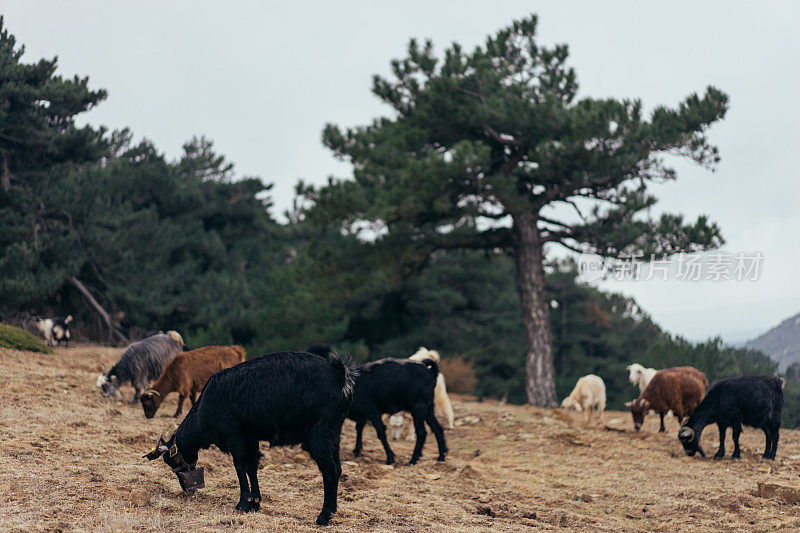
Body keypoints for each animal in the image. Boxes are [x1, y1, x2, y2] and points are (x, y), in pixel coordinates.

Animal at [145, 348, 356, 524]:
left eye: (170, 461)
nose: (187, 489)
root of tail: (340, 374)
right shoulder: (251, 437)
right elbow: (253, 466)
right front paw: (255, 502)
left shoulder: (234, 435)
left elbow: (240, 466)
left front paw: (242, 503)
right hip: (333, 433)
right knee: (337, 468)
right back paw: (332, 511)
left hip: (320, 433)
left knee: (330, 470)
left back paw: (324, 516)